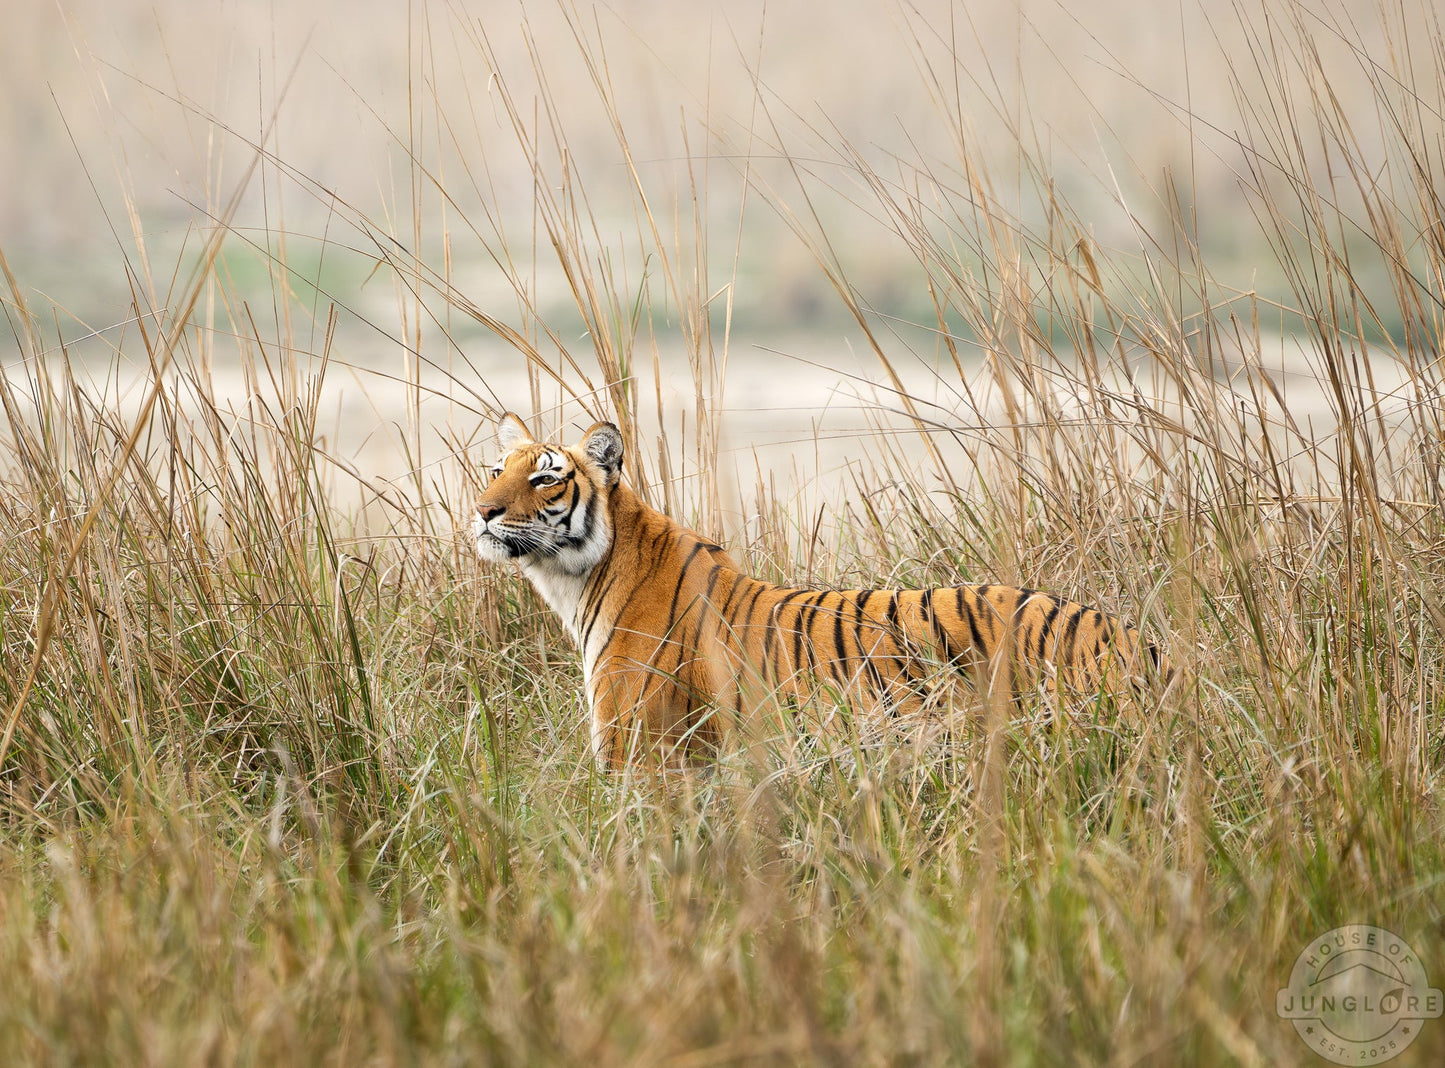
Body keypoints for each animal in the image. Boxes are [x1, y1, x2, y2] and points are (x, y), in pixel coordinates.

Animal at [472, 413, 1172, 768]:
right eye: (496, 469)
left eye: (544, 478)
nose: (480, 511)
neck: (577, 580)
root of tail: (1137, 640)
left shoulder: (637, 754)